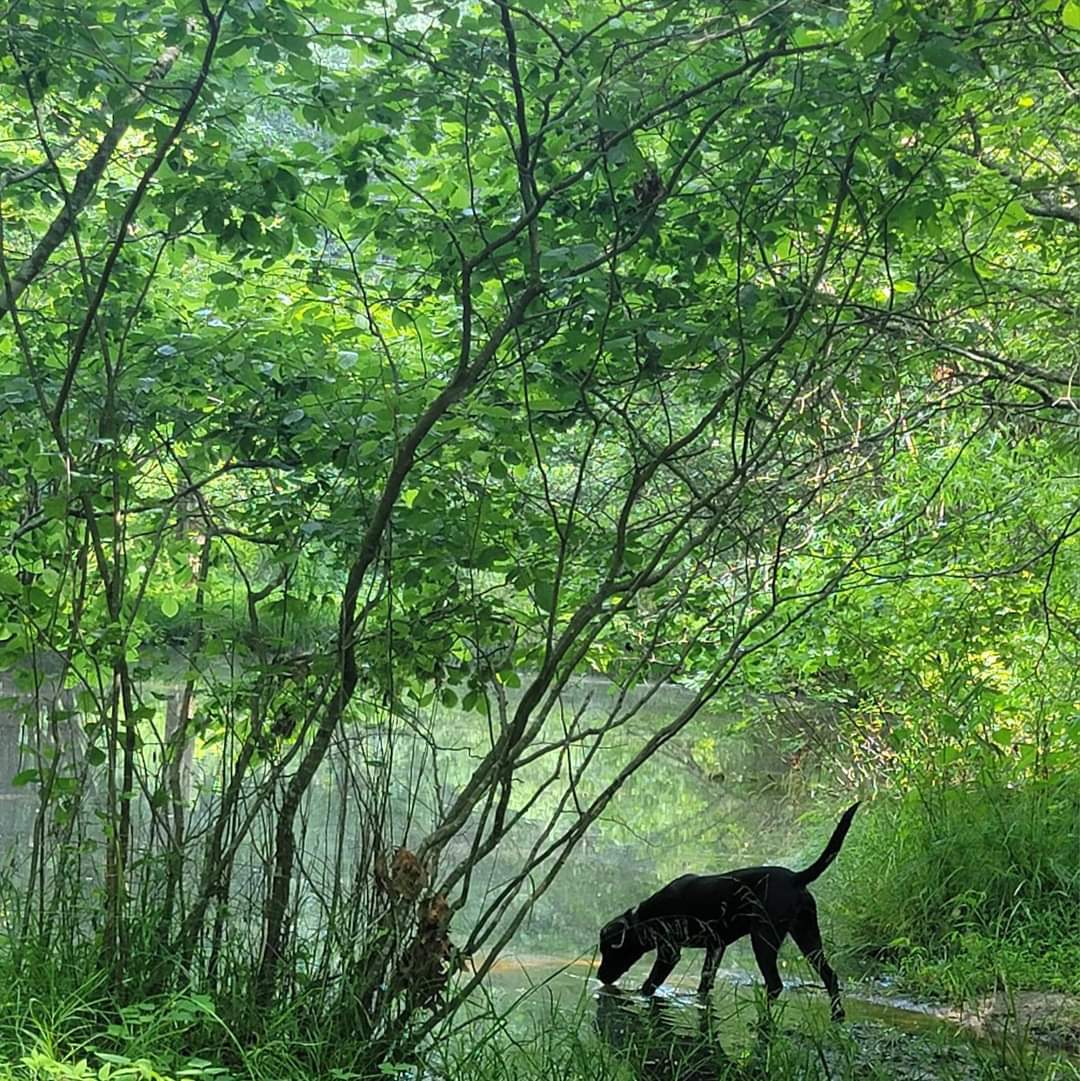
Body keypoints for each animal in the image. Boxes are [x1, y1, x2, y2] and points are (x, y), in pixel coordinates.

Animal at [601, 804, 860, 1020]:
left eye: (608, 951)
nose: (600, 977)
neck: (645, 918)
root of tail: (797, 878)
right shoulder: (716, 947)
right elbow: (705, 983)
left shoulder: (669, 952)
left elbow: (650, 984)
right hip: (808, 937)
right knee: (830, 976)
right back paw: (838, 1015)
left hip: (764, 939)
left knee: (775, 984)